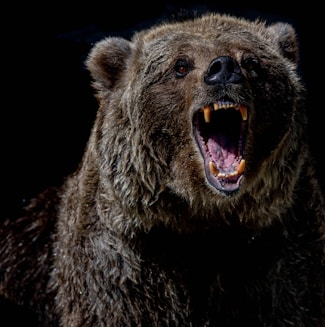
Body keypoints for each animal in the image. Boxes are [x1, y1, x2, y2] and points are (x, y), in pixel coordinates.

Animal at [0, 10, 324, 327]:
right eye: (180, 65)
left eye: (251, 61)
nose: (223, 68)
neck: (203, 217)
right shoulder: (122, 264)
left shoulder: (280, 254)